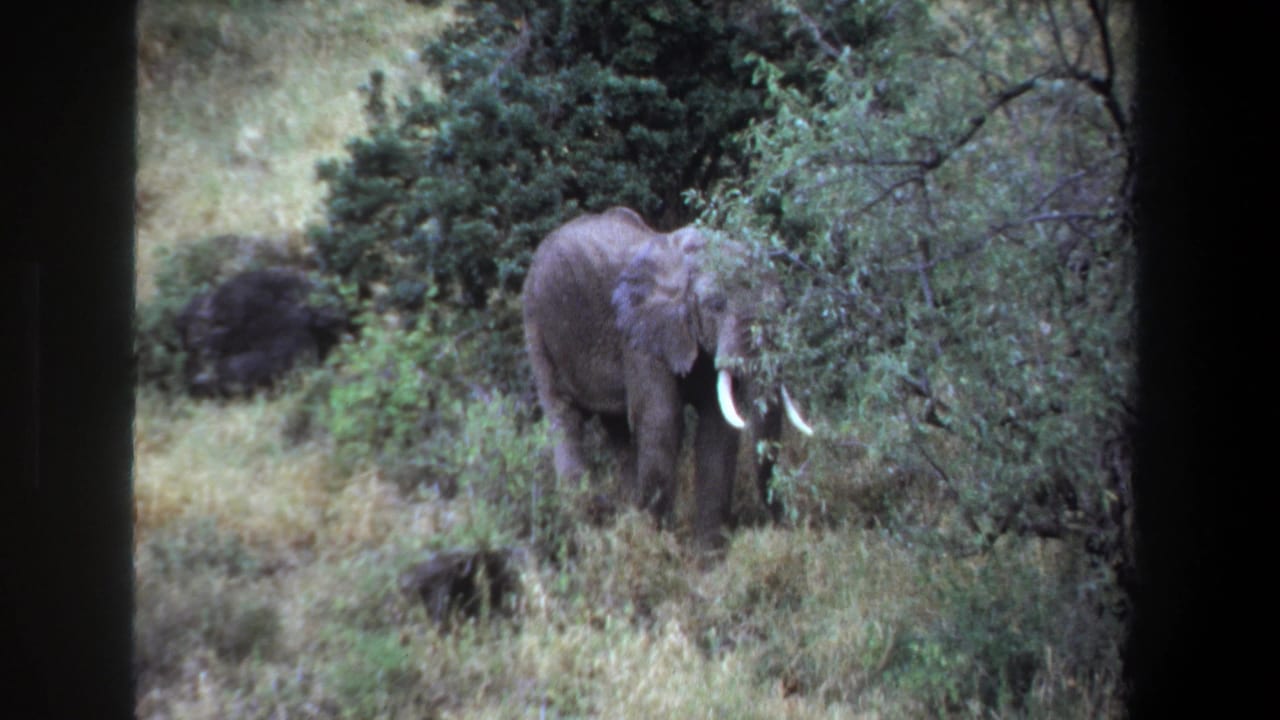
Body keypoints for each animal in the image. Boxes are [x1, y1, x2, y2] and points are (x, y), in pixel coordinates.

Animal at [521, 207, 813, 547]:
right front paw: (658, 545)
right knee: (563, 417)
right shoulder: (639, 335)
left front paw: (707, 555)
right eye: (716, 306)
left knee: (619, 429)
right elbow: (662, 421)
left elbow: (717, 429)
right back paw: (582, 526)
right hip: (537, 324)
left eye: (783, 305)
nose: (789, 527)